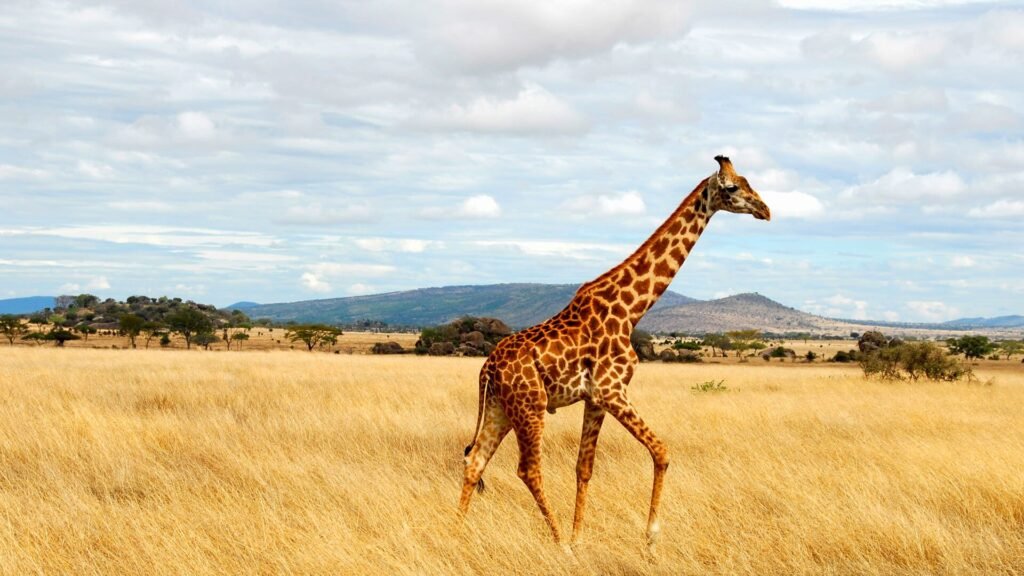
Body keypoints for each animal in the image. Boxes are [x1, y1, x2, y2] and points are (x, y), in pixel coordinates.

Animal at [458, 155, 771, 551]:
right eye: (731, 187)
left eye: (747, 181)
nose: (765, 210)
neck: (632, 309)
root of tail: (487, 368)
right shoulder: (613, 390)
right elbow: (661, 451)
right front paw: (650, 535)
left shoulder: (595, 399)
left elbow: (584, 468)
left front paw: (580, 537)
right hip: (530, 406)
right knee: (527, 469)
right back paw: (558, 544)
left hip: (501, 407)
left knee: (475, 462)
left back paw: (457, 533)